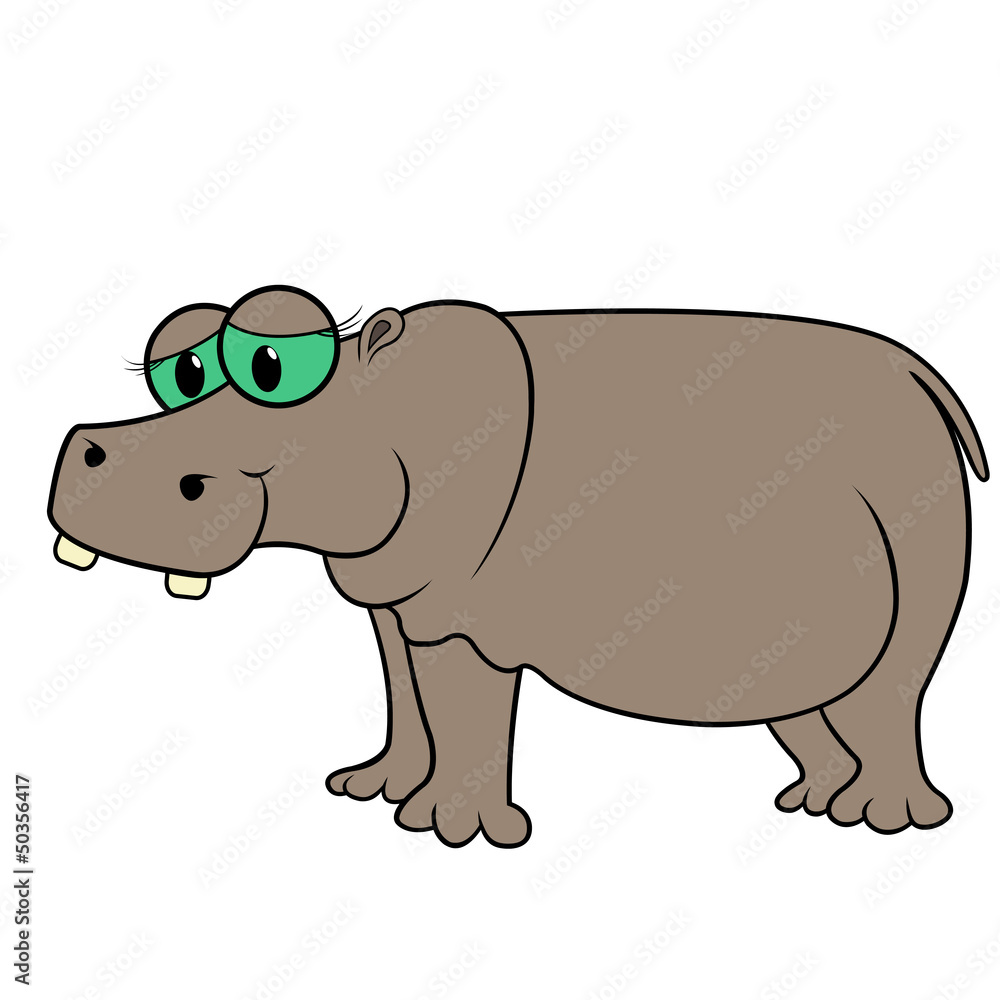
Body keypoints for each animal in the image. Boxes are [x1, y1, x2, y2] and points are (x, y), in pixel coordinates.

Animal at [48, 285, 988, 847]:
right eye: (181, 362)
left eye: (272, 363)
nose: (88, 447)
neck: (381, 408)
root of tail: (924, 375)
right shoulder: (395, 599)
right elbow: (407, 699)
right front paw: (368, 792)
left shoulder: (464, 622)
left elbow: (462, 710)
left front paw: (448, 832)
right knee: (810, 704)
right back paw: (811, 805)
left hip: (921, 519)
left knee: (892, 692)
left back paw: (885, 822)